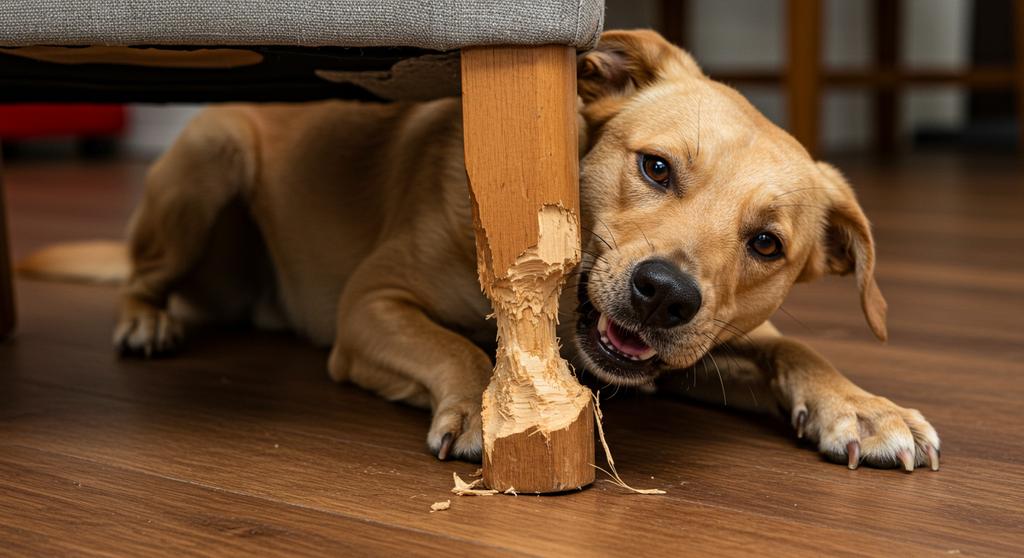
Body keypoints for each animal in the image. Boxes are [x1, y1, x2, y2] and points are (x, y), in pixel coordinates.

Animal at [19, 29, 937, 470]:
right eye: (656, 167)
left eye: (766, 243)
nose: (665, 293)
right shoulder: (370, 308)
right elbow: (453, 347)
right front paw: (483, 406)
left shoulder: (706, 351)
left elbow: (797, 351)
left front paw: (864, 408)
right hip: (210, 154)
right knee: (143, 279)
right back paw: (149, 319)